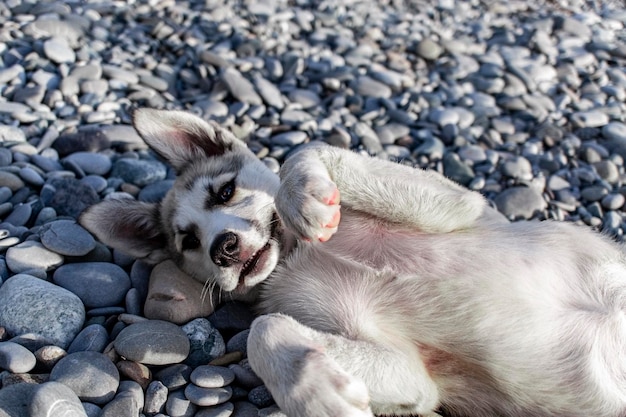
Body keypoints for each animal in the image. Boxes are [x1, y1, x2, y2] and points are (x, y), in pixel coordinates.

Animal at [80, 109, 624, 416]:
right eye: (188, 241)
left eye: (226, 192)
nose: (225, 248)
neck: (299, 255)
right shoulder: (417, 381)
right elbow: (264, 331)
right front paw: (317, 394)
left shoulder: (462, 206)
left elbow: (307, 149)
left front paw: (304, 196)